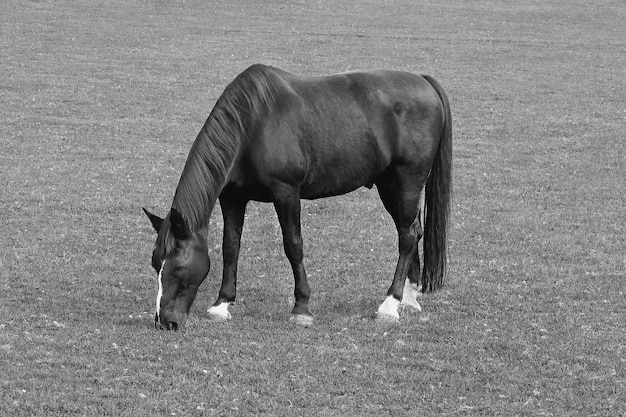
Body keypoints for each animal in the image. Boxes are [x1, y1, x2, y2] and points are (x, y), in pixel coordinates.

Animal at [144, 63, 450, 330]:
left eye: (179, 267)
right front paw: (222, 304)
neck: (253, 124)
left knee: (407, 236)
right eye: (155, 263)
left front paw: (301, 308)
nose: (164, 322)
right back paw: (408, 297)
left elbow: (293, 246)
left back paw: (390, 303)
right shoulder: (232, 198)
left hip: (407, 182)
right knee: (412, 230)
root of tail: (424, 82)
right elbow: (231, 247)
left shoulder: (286, 193)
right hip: (391, 186)